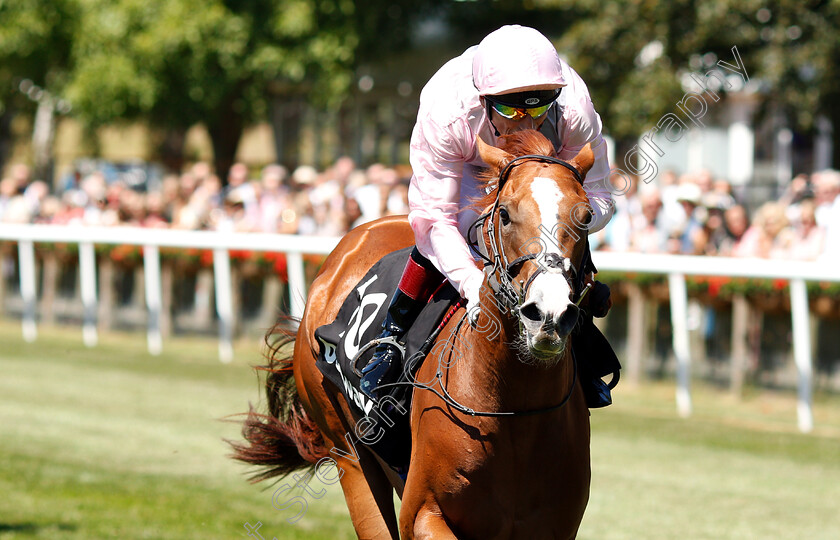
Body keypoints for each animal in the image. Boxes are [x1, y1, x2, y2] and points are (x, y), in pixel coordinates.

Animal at [233, 132, 592, 540]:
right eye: (505, 214)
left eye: (586, 217)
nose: (548, 314)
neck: (515, 409)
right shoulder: (422, 513)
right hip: (346, 450)